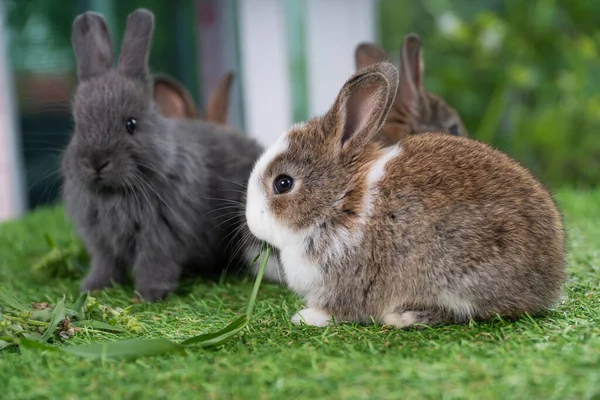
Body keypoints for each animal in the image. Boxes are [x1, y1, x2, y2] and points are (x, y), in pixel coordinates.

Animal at [61, 7, 264, 302]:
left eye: (131, 124)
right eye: (77, 125)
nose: (96, 162)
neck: (116, 194)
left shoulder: (160, 235)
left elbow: (154, 263)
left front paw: (149, 295)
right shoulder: (103, 242)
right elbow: (105, 264)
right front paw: (94, 287)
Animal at [243, 61, 564, 328]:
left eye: (283, 183)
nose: (250, 222)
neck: (341, 200)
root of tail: (550, 280)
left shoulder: (345, 280)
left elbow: (336, 310)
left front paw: (304, 317)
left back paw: (404, 317)